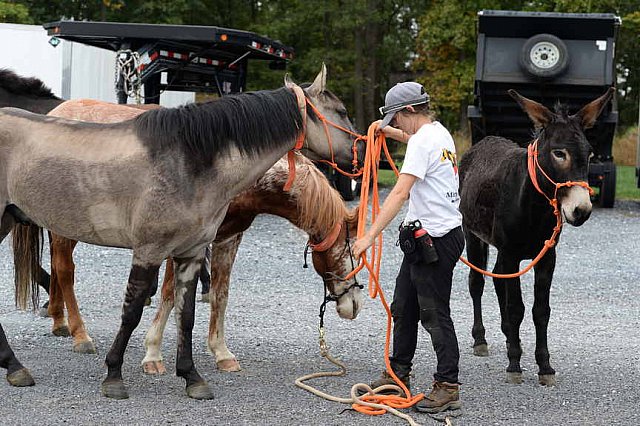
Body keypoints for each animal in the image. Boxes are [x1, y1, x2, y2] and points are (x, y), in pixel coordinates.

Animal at [142, 153, 362, 372]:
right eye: (350, 254)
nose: (354, 305)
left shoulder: (228, 238)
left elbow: (220, 295)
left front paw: (221, 352)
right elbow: (170, 294)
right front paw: (153, 353)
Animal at [460, 89, 616, 386]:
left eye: (590, 154)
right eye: (559, 153)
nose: (582, 211)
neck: (534, 206)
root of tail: (486, 140)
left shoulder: (547, 257)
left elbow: (540, 311)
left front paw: (545, 366)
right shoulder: (510, 253)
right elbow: (516, 308)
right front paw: (514, 365)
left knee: (498, 280)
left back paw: (509, 336)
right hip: (471, 234)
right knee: (477, 282)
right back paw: (481, 339)